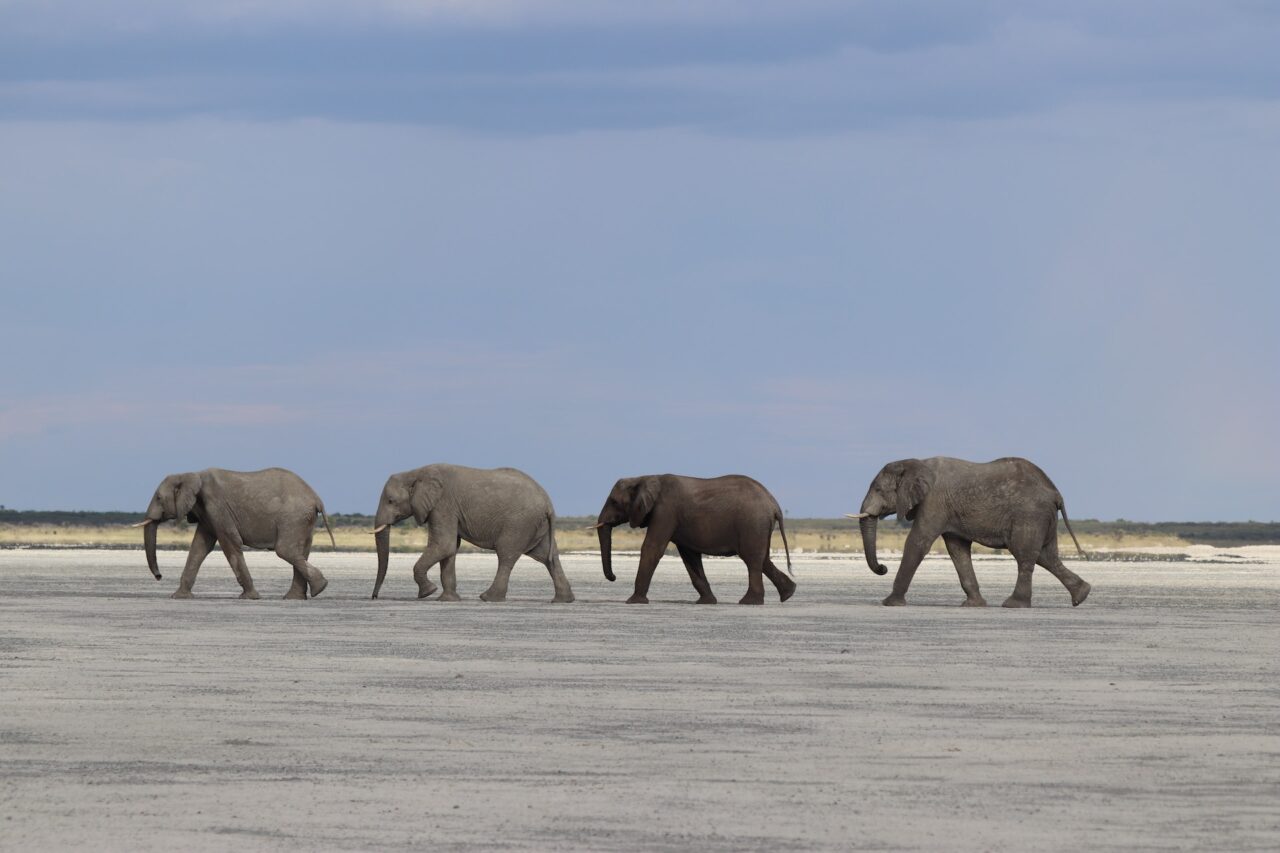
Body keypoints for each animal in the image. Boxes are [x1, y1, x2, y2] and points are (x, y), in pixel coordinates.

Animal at [133, 468, 334, 600]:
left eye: (159, 498)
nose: (159, 577)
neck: (191, 474)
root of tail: (316, 498)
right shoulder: (207, 513)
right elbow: (200, 547)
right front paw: (179, 596)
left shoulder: (217, 506)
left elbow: (229, 542)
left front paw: (249, 597)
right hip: (303, 519)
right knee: (301, 551)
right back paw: (297, 597)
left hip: (293, 517)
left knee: (285, 550)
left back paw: (319, 588)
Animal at [370, 464, 574, 603]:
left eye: (390, 501)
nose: (374, 597)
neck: (415, 473)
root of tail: (548, 503)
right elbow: (450, 549)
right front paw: (448, 599)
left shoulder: (442, 505)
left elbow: (444, 545)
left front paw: (428, 592)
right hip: (535, 525)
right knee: (548, 557)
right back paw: (563, 600)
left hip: (519, 523)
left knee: (506, 555)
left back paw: (488, 598)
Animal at [593, 474, 795, 605]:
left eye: (614, 502)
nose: (614, 577)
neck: (643, 477)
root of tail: (773, 504)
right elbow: (690, 556)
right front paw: (706, 602)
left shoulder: (665, 511)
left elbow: (652, 548)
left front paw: (633, 602)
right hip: (759, 527)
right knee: (762, 559)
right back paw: (788, 594)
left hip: (752, 523)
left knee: (752, 559)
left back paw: (749, 602)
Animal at [848, 456, 1090, 608]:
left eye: (878, 489)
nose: (883, 567)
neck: (916, 463)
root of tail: (1055, 493)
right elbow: (957, 550)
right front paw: (973, 605)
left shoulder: (934, 502)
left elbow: (918, 542)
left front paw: (889, 603)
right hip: (1043, 518)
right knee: (1047, 556)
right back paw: (1081, 595)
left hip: (1030, 516)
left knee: (1025, 555)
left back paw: (1013, 605)